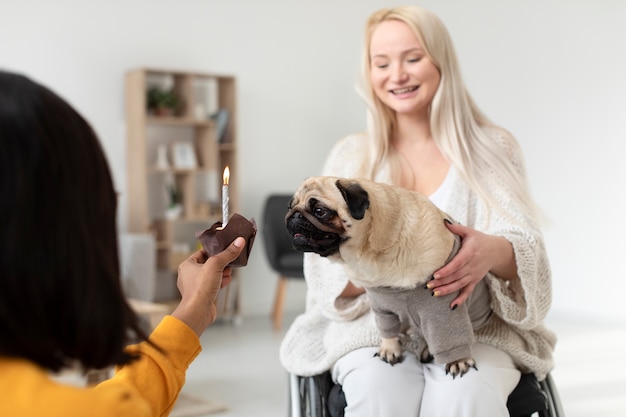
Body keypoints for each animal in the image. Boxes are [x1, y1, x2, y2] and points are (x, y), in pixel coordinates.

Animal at [284, 176, 492, 376]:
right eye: (290, 206)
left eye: (320, 211)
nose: (294, 214)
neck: (371, 250)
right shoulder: (382, 306)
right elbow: (387, 329)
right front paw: (389, 349)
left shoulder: (443, 307)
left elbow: (449, 337)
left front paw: (458, 360)